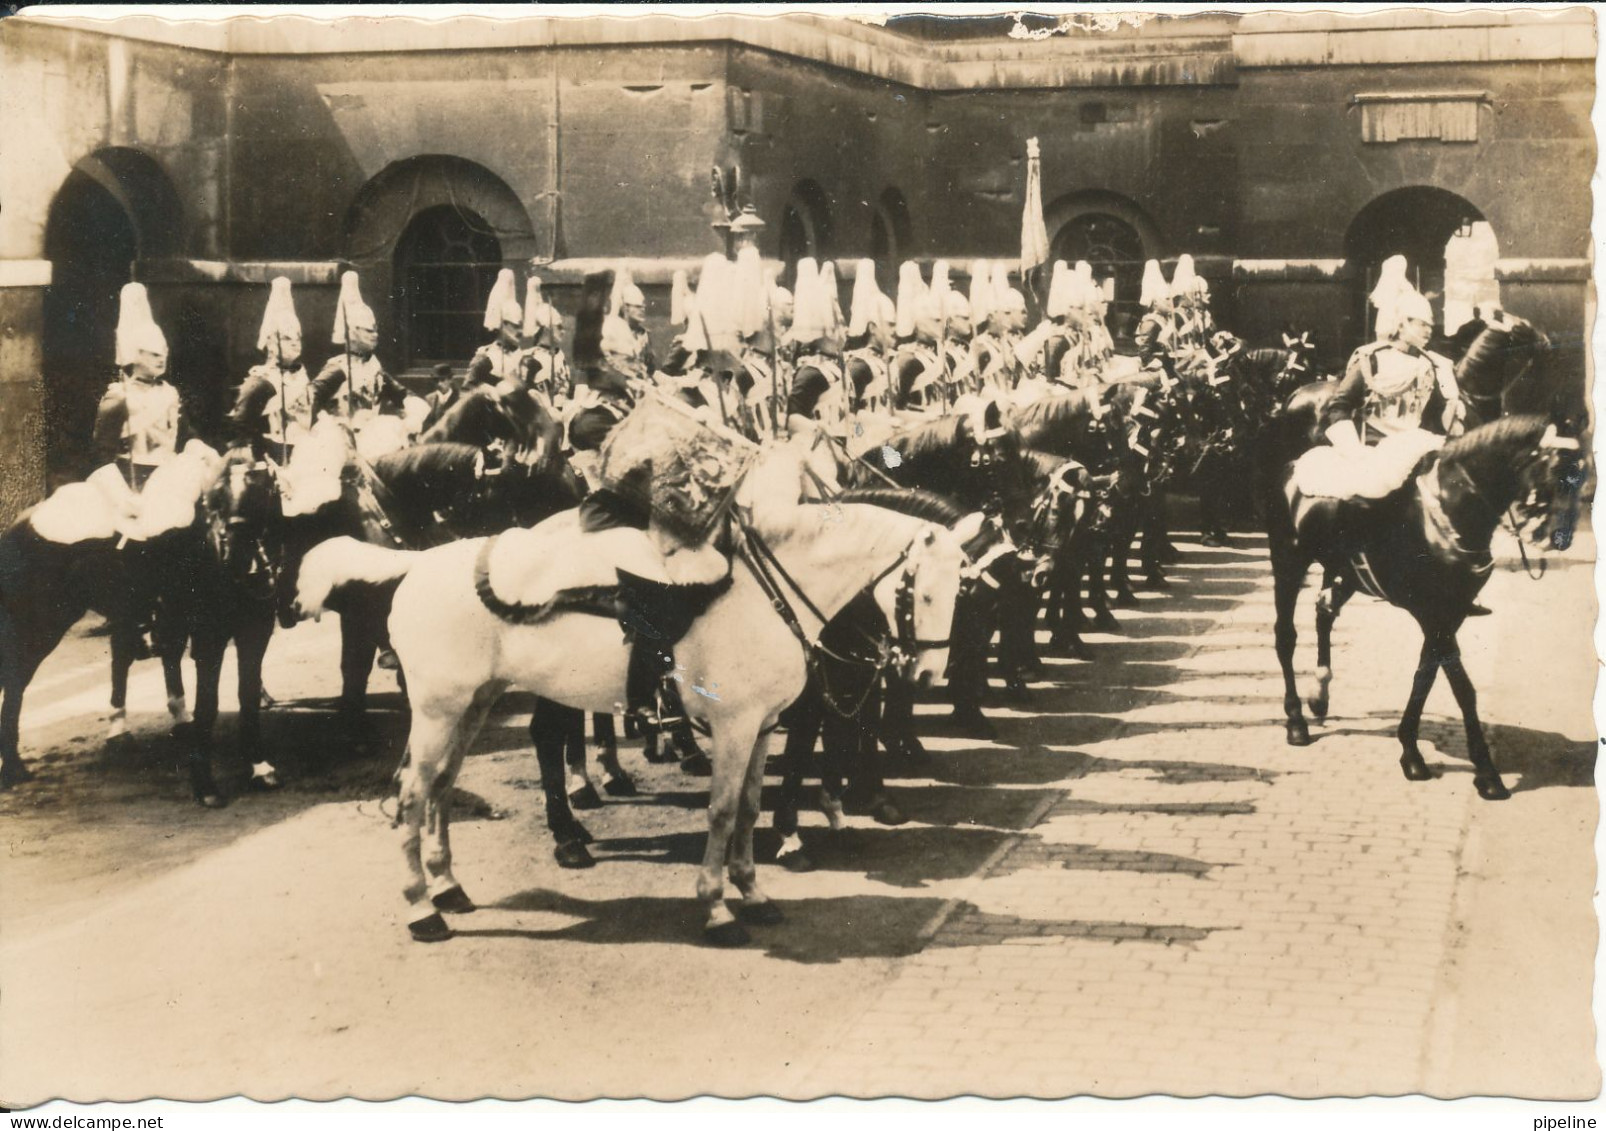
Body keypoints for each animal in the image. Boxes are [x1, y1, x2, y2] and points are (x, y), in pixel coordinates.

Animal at [290, 449, 970, 944]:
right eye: (921, 591)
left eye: (962, 587)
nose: (928, 675)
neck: (765, 591)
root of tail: (416, 564)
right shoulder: (733, 726)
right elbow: (723, 812)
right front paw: (716, 910)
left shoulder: (763, 726)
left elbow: (751, 808)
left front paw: (754, 893)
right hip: (437, 711)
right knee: (412, 796)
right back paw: (422, 910)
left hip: (471, 705)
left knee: (438, 789)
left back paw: (448, 888)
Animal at [1259, 408, 1586, 803]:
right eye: (1555, 471)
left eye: (1582, 472)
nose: (1558, 538)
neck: (1451, 508)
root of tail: (1292, 465)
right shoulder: (1433, 612)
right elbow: (1462, 688)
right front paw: (1486, 773)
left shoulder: (1451, 612)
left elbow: (1425, 675)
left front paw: (1410, 751)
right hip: (1288, 564)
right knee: (1286, 637)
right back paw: (1295, 721)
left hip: (1343, 572)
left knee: (1324, 614)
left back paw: (1319, 695)